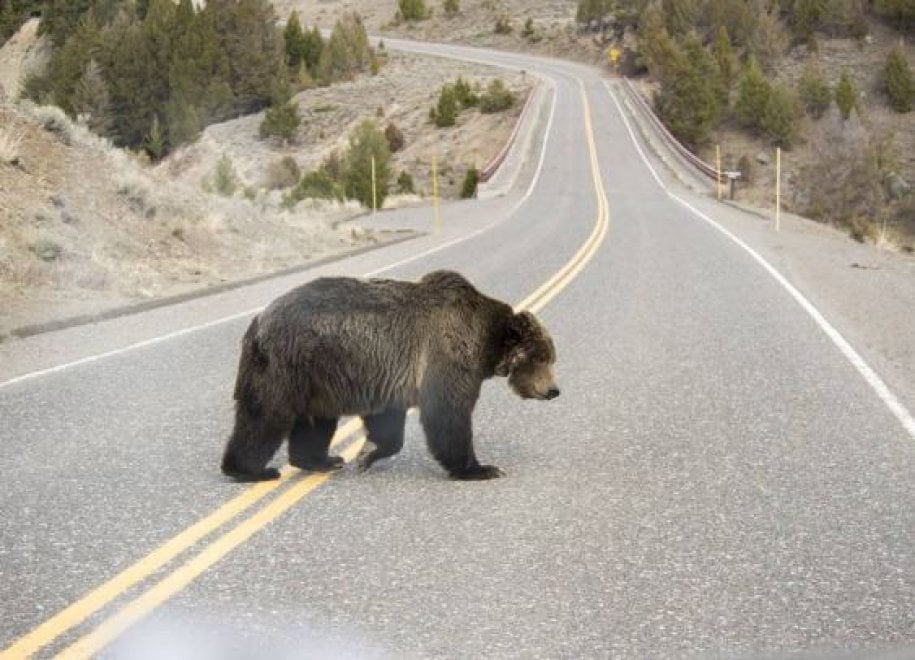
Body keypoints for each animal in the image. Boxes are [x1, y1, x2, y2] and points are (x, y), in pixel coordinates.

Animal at [220, 270, 559, 482]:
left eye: (551, 356)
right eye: (542, 357)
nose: (554, 390)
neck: (483, 341)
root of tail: (257, 321)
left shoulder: (388, 373)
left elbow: (387, 422)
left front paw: (366, 454)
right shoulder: (445, 355)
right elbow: (447, 413)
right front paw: (481, 468)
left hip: (318, 375)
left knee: (315, 420)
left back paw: (322, 460)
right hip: (287, 364)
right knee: (265, 415)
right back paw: (251, 470)